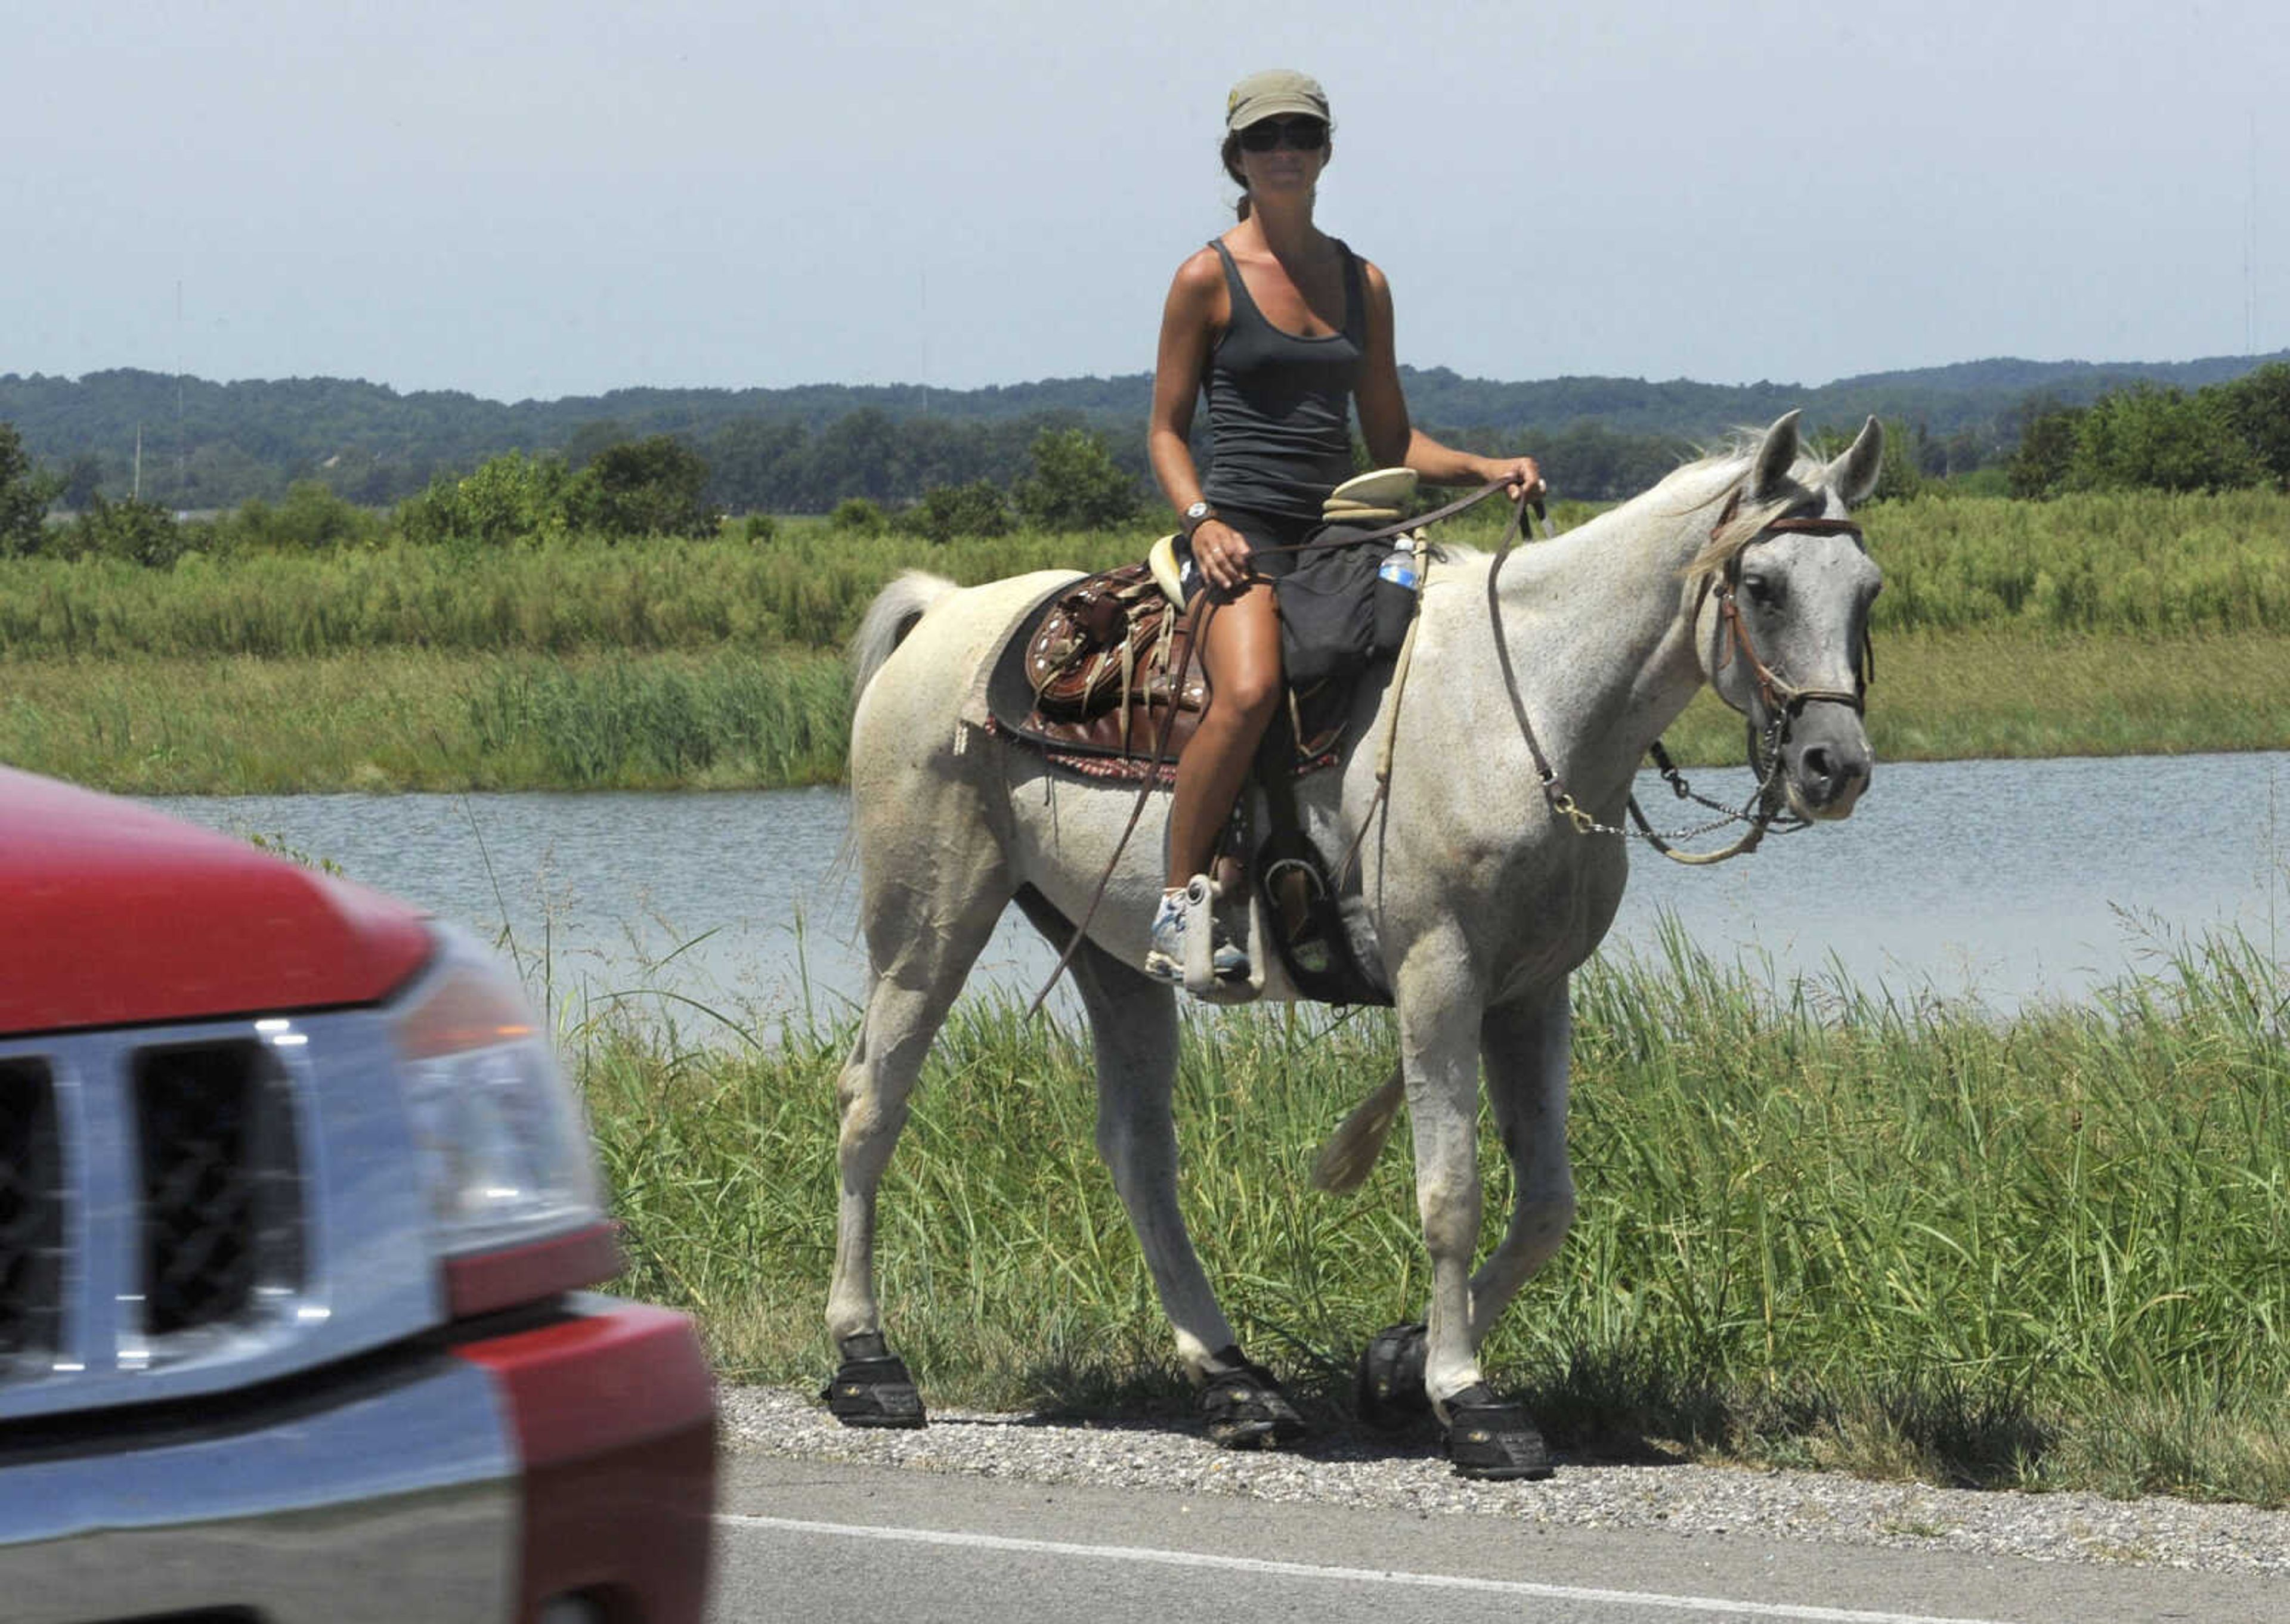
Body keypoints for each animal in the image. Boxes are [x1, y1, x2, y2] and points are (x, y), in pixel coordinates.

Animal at [819, 407, 1877, 1484]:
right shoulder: (1440, 977)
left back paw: (1236, 1381)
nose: (1833, 765)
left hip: (1109, 959)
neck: (1526, 706)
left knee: (1137, 1150)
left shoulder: (1531, 992)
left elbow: (1546, 1203)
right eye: (1763, 586)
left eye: (1866, 589)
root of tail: (946, 612)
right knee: (874, 1102)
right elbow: (1453, 1191)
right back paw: (868, 1361)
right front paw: (1467, 1397)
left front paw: (1396, 1368)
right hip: (929, 922)